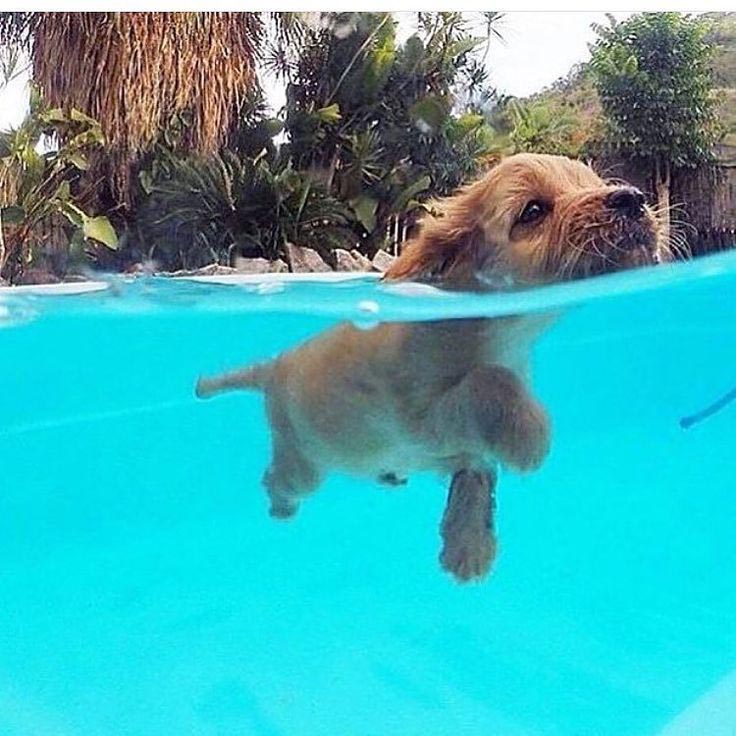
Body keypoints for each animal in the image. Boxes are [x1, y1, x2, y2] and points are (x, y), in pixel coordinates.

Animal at [193, 154, 664, 580]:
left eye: (593, 182)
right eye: (533, 211)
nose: (632, 198)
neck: (494, 333)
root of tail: (275, 367)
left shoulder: (464, 446)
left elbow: (478, 471)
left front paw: (468, 546)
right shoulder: (416, 418)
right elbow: (488, 385)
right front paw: (527, 437)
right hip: (302, 460)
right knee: (282, 478)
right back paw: (281, 503)